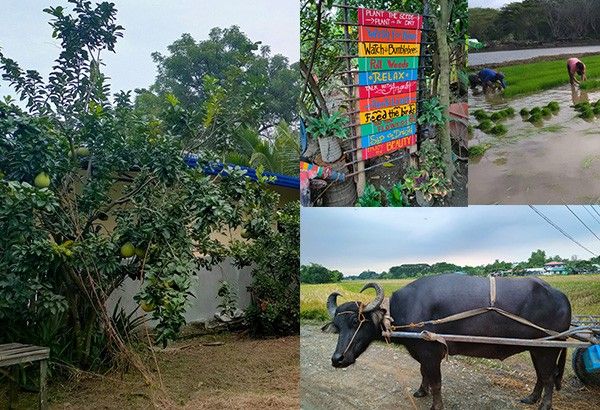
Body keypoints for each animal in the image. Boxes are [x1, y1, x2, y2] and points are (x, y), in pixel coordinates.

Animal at [326, 274, 568, 408]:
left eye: (357, 322)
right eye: (337, 326)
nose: (337, 359)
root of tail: (561, 296)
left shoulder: (431, 353)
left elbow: (436, 382)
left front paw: (435, 404)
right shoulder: (422, 354)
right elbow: (423, 373)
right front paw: (420, 391)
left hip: (547, 349)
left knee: (548, 377)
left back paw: (544, 405)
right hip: (537, 347)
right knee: (541, 375)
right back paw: (531, 398)